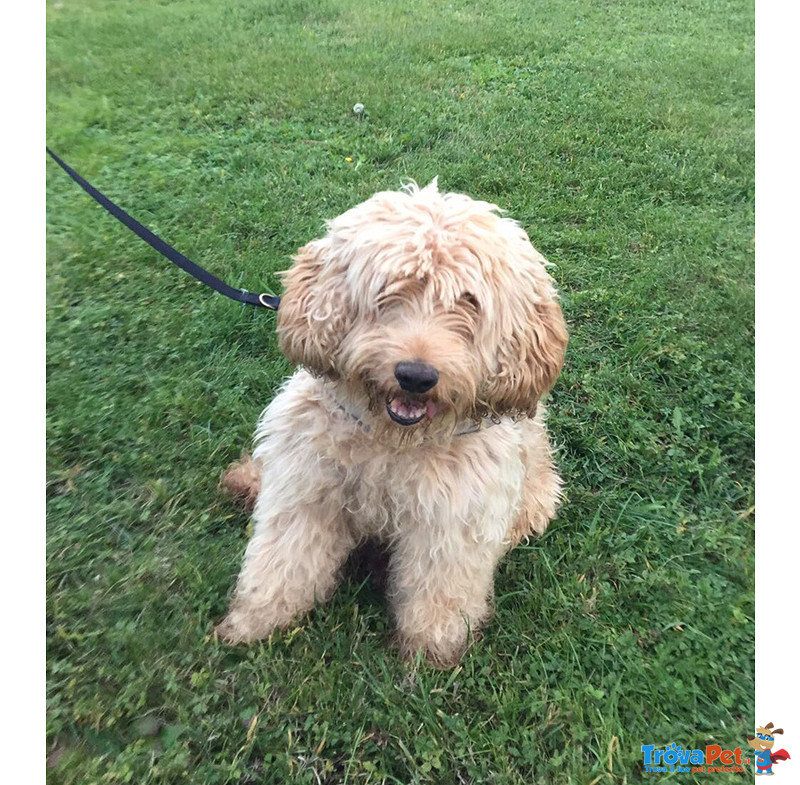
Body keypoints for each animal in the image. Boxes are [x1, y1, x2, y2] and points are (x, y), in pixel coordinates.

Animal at [216, 181, 568, 664]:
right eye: (390, 289)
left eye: (468, 302)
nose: (416, 376)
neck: (392, 439)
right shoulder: (306, 487)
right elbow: (283, 560)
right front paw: (254, 621)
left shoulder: (452, 518)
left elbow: (440, 588)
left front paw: (431, 650)